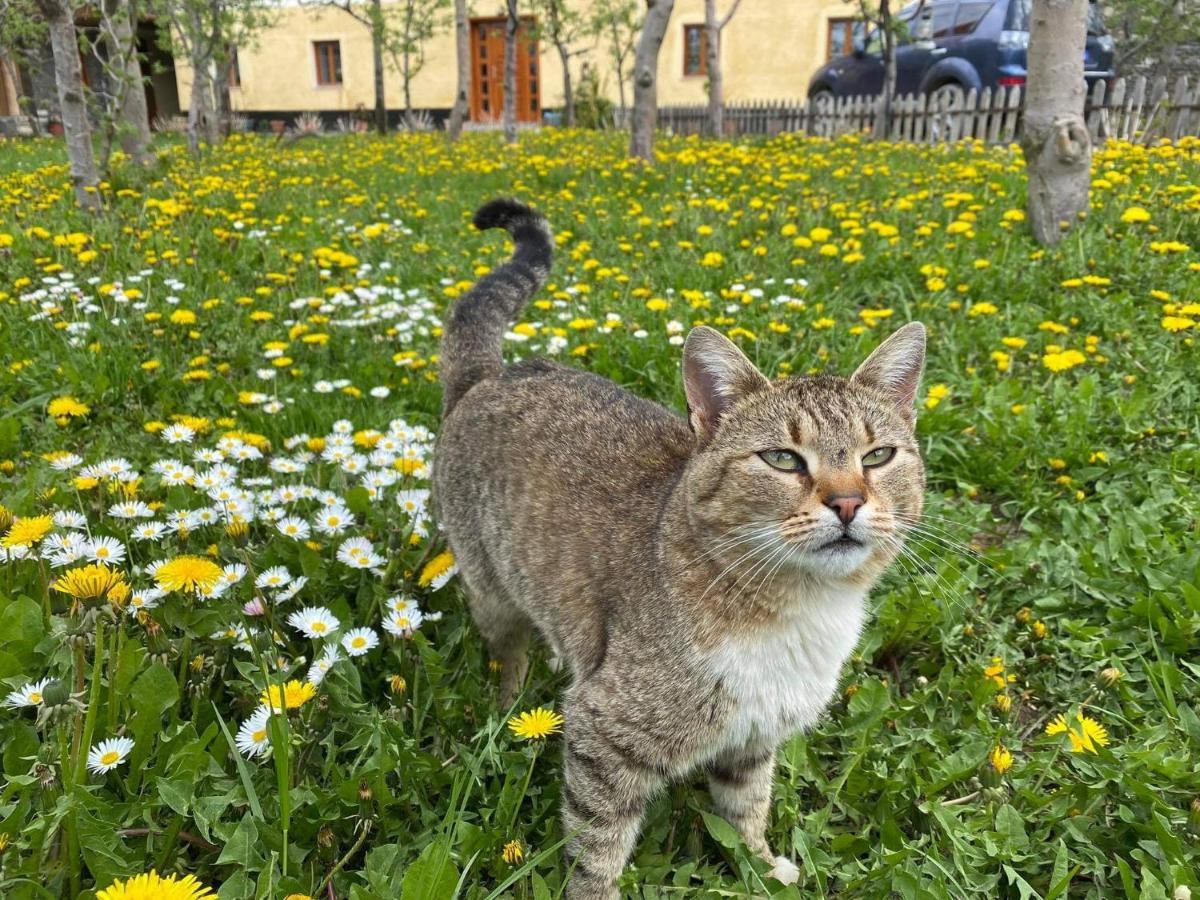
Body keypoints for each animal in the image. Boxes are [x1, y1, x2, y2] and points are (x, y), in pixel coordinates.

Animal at [434, 199, 926, 900]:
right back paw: (508, 713)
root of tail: (491, 374)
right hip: (489, 588)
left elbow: (747, 806)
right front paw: (597, 892)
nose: (847, 503)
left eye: (878, 455)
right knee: (508, 656)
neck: (798, 611)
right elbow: (598, 840)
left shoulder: (754, 738)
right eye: (782, 458)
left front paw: (759, 864)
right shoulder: (604, 730)